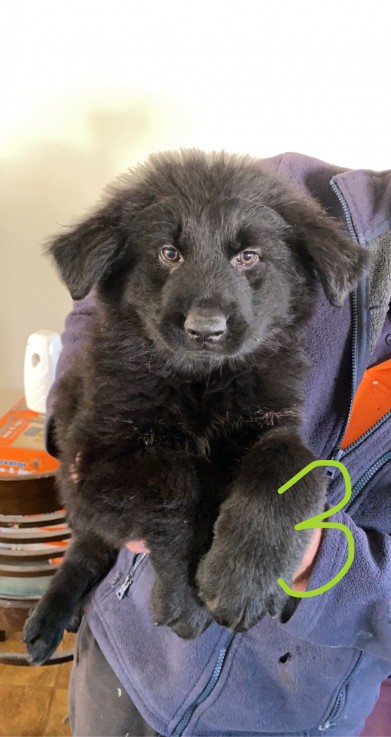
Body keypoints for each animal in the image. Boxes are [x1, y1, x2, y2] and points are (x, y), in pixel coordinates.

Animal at [23, 147, 368, 664]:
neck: (201, 382)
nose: (206, 330)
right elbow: (177, 481)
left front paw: (243, 575)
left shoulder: (273, 420)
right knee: (85, 549)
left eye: (248, 256)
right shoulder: (99, 459)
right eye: (170, 253)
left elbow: (292, 464)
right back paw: (49, 619)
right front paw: (185, 598)